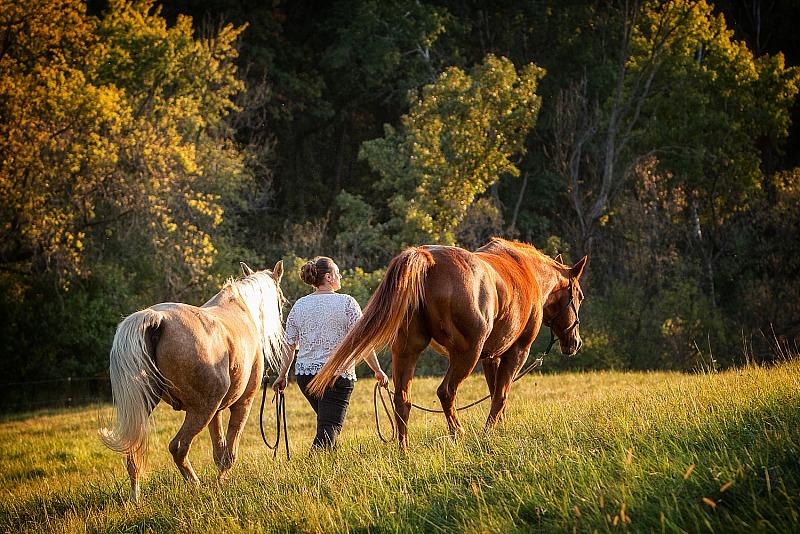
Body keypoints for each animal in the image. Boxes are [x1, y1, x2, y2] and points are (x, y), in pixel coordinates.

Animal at [101, 262, 284, 504]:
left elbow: (219, 449)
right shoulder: (242, 404)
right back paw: (195, 484)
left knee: (133, 454)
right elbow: (229, 452)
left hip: (149, 408)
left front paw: (221, 481)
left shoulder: (217, 411)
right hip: (200, 410)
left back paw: (135, 498)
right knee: (178, 447)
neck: (240, 310)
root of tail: (157, 319)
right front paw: (221, 483)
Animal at [310, 239, 584, 448]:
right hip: (466, 354)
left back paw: (403, 449)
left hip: (407, 352)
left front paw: (500, 428)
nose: (575, 342)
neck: (526, 271)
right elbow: (501, 394)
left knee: (402, 399)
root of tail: (427, 258)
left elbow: (496, 391)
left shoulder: (491, 357)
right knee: (446, 391)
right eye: (579, 296)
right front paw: (490, 432)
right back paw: (458, 433)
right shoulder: (516, 352)